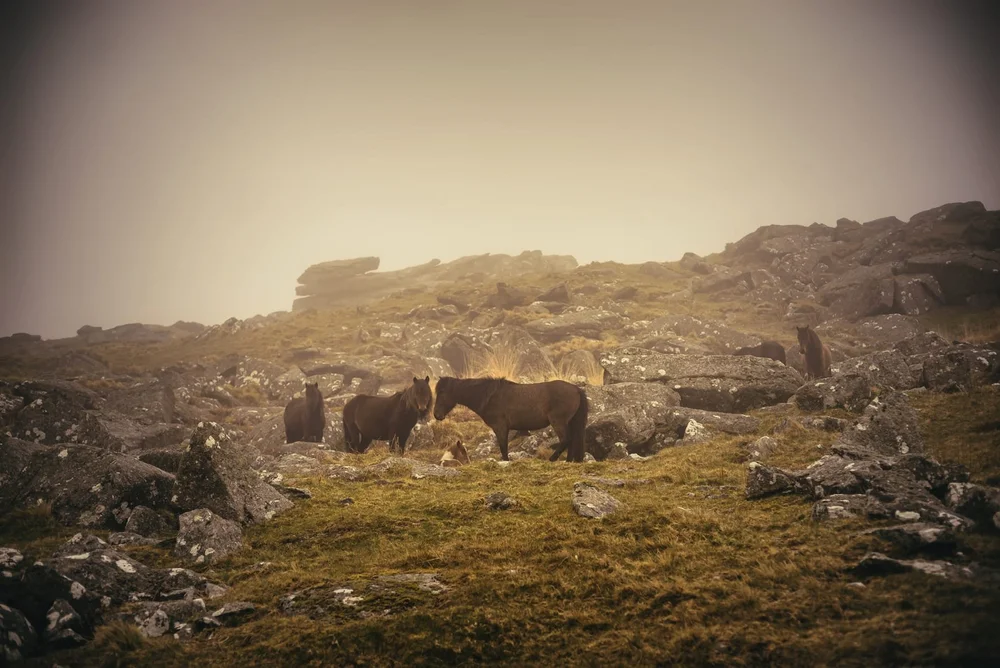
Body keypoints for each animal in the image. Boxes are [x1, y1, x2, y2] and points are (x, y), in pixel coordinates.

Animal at [433, 376, 588, 462]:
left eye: (442, 392)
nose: (437, 415)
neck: (489, 397)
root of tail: (576, 389)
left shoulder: (500, 427)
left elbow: (503, 448)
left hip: (559, 422)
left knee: (566, 440)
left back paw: (552, 459)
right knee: (572, 441)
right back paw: (568, 461)